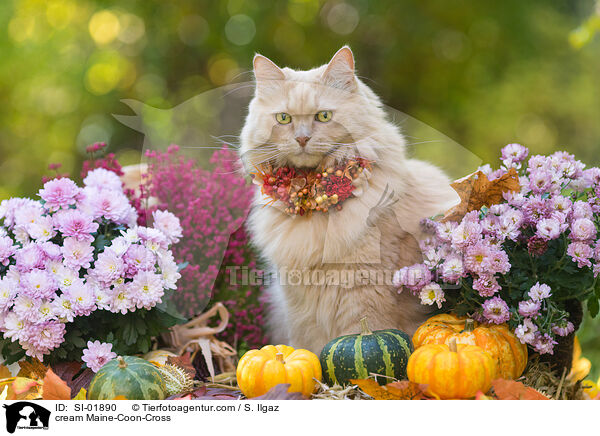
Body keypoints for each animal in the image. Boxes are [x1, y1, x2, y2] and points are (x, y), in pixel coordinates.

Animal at [237, 46, 458, 354]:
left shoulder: (363, 290)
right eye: (283, 119)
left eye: (323, 116)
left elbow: (362, 335)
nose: (302, 138)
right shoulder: (299, 304)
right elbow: (308, 348)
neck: (315, 204)